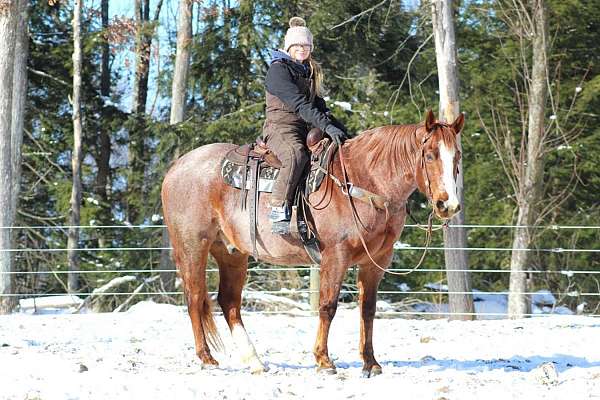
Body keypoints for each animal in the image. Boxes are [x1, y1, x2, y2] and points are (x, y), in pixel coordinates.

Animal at [159, 110, 464, 378]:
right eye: (429, 155)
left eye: (457, 156)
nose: (447, 205)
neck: (363, 182)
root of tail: (177, 167)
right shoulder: (336, 257)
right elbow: (328, 306)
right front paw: (324, 360)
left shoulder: (376, 262)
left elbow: (368, 310)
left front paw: (370, 363)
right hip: (193, 246)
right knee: (195, 297)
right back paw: (206, 358)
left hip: (231, 253)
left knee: (229, 302)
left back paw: (254, 361)